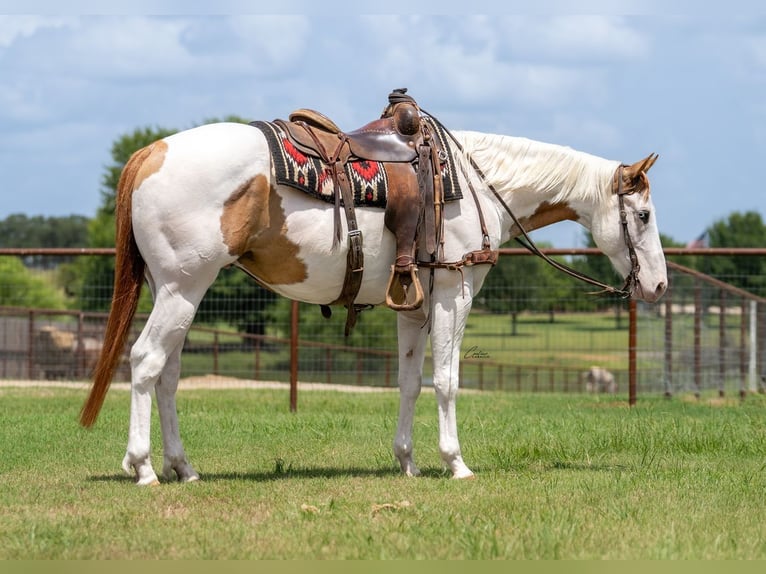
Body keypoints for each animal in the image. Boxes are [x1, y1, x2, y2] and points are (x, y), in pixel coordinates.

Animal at [79, 118, 667, 485]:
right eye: (642, 216)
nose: (659, 287)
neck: (477, 183)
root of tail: (152, 151)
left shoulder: (415, 305)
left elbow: (409, 383)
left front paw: (407, 462)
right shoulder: (453, 294)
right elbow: (447, 380)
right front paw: (455, 463)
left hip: (176, 290)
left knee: (168, 375)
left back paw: (184, 467)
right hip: (183, 288)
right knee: (146, 362)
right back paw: (144, 468)